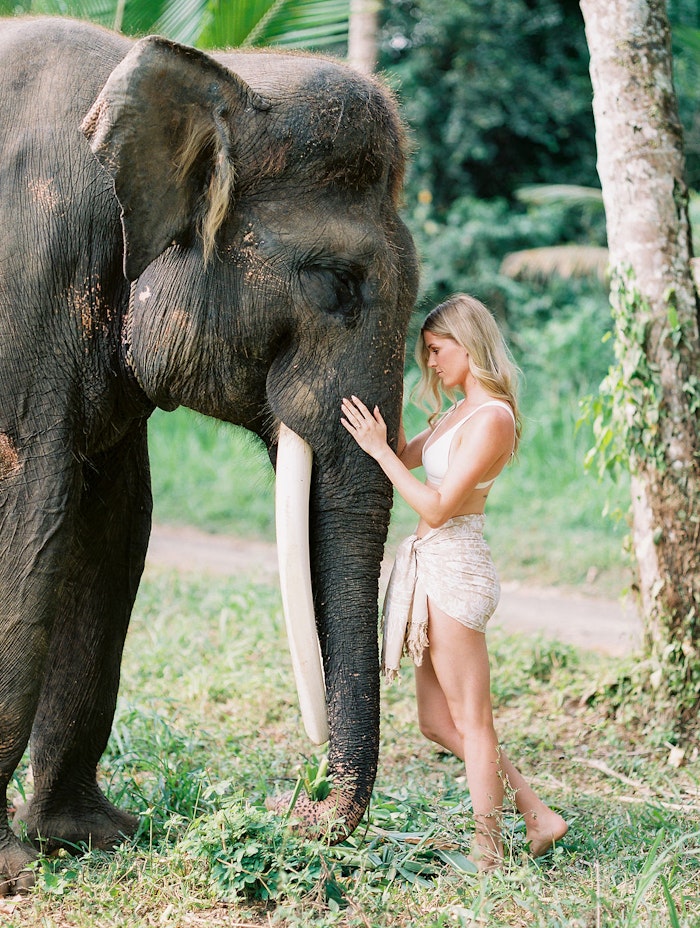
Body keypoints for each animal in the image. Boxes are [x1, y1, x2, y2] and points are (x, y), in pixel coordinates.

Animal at [0, 16, 418, 893]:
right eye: (337, 283)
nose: (299, 812)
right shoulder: (26, 282)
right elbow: (34, 510)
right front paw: (17, 872)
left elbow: (118, 526)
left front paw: (96, 837)